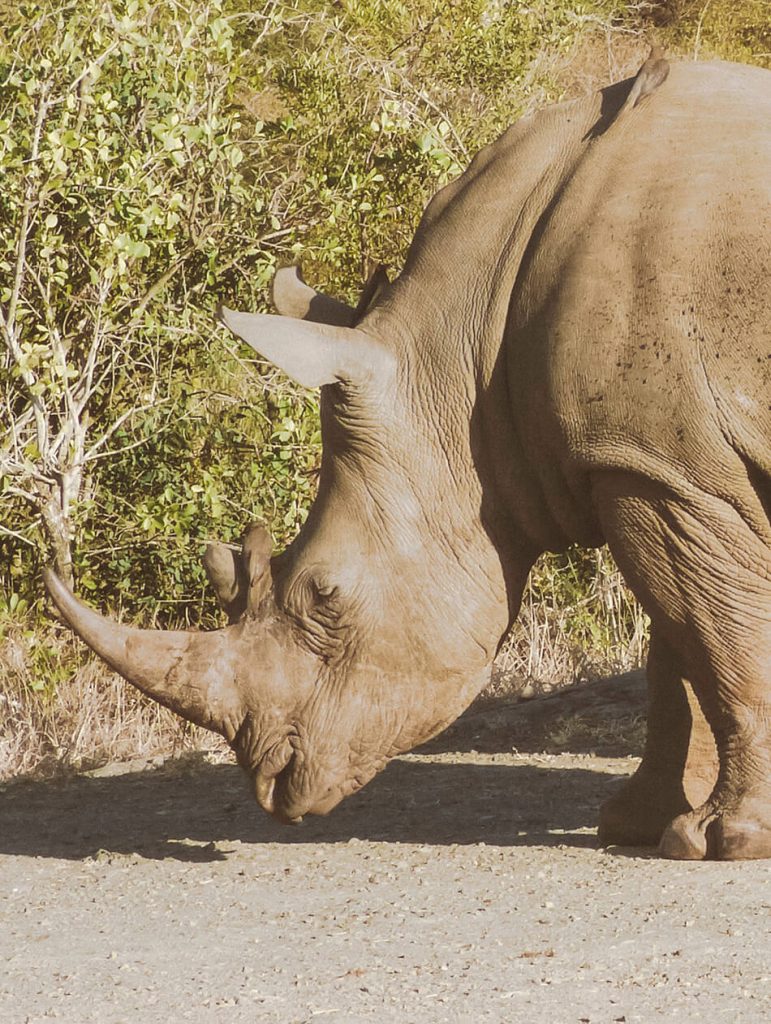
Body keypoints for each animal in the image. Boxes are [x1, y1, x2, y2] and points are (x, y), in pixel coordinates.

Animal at [46, 59, 769, 860]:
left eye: (325, 594)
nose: (273, 784)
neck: (464, 357)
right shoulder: (652, 462)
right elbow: (682, 646)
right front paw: (637, 825)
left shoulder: (663, 469)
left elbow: (717, 639)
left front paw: (726, 839)